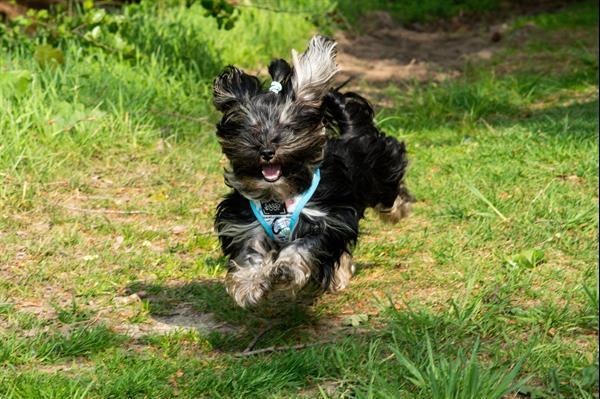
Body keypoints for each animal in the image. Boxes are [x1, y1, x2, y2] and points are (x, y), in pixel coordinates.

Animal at [211, 35, 412, 310]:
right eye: (252, 129)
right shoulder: (245, 223)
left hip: (380, 172)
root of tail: (350, 133)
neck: (279, 194)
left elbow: (303, 246)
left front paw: (285, 269)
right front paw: (248, 285)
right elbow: (250, 252)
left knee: (391, 190)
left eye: (287, 127)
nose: (267, 151)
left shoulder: (327, 220)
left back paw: (398, 209)